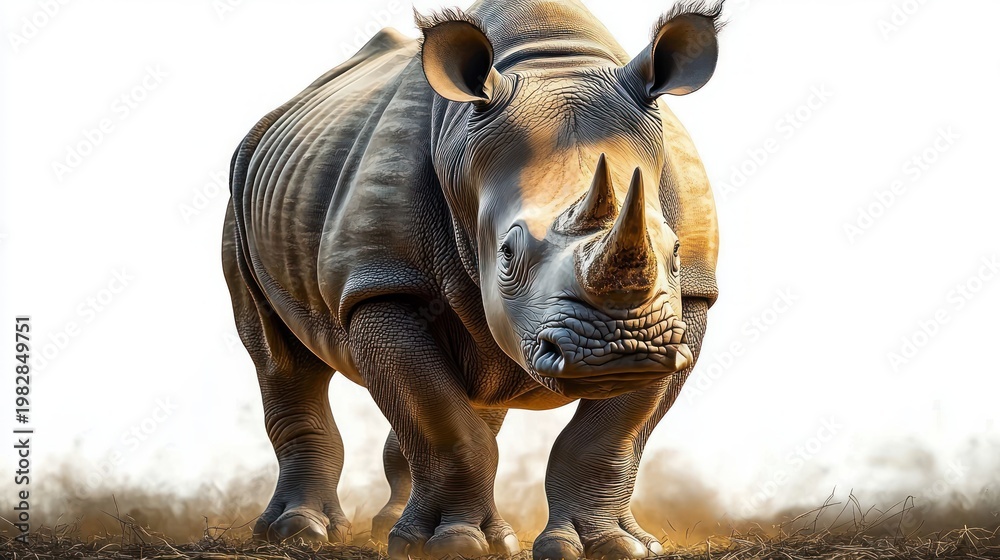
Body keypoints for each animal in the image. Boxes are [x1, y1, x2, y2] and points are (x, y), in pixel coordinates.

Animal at [222, 1, 722, 558]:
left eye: (673, 250)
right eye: (507, 254)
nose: (618, 348)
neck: (555, 61)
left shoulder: (689, 301)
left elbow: (611, 434)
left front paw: (615, 547)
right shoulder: (380, 284)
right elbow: (442, 421)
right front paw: (453, 544)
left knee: (483, 389)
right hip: (240, 194)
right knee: (282, 363)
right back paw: (300, 532)